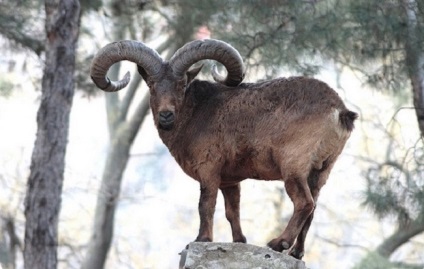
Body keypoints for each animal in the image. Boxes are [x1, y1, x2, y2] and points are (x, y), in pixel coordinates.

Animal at [90, 38, 358, 258]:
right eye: (152, 85)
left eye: (181, 84)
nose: (166, 115)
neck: (195, 113)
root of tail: (340, 111)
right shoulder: (230, 181)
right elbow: (232, 211)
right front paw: (239, 241)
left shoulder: (209, 170)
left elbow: (205, 205)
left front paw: (202, 239)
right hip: (321, 171)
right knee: (313, 206)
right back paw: (296, 253)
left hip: (294, 167)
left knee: (304, 203)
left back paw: (278, 243)